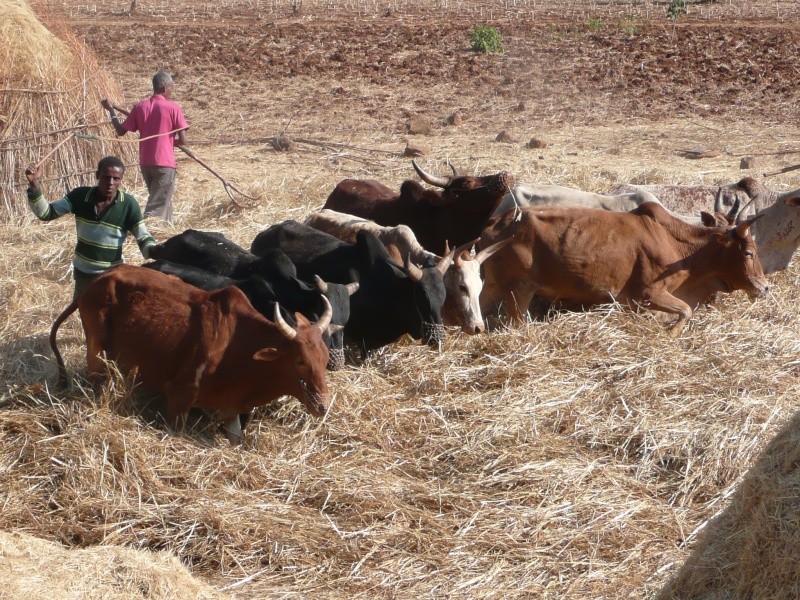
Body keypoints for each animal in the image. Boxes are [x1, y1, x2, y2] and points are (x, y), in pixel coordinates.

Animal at [50, 264, 332, 442]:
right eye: (300, 360)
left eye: (325, 359)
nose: (322, 406)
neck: (237, 343)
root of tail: (96, 282)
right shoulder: (179, 396)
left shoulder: (230, 410)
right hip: (96, 354)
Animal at [478, 202, 764, 332]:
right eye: (748, 252)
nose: (764, 288)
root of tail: (496, 224)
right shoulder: (648, 294)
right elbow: (685, 311)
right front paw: (670, 334)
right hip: (520, 290)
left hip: (490, 286)